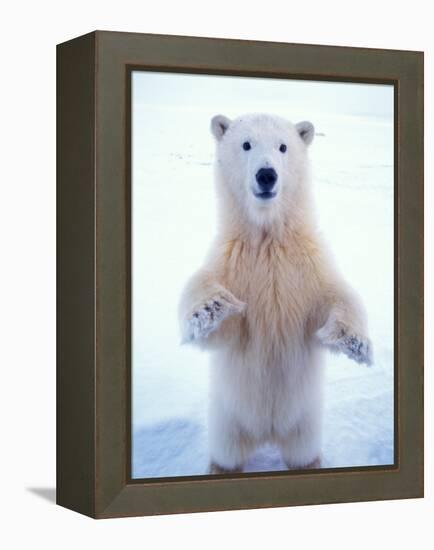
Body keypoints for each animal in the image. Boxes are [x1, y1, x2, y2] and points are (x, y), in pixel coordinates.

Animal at [178, 114, 372, 476]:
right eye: (246, 144)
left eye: (283, 146)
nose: (266, 175)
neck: (268, 238)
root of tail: (267, 433)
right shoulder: (233, 261)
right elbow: (213, 311)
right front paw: (211, 306)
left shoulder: (306, 265)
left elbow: (336, 295)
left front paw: (355, 341)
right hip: (227, 417)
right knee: (227, 452)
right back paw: (220, 468)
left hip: (305, 421)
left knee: (302, 452)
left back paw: (309, 464)